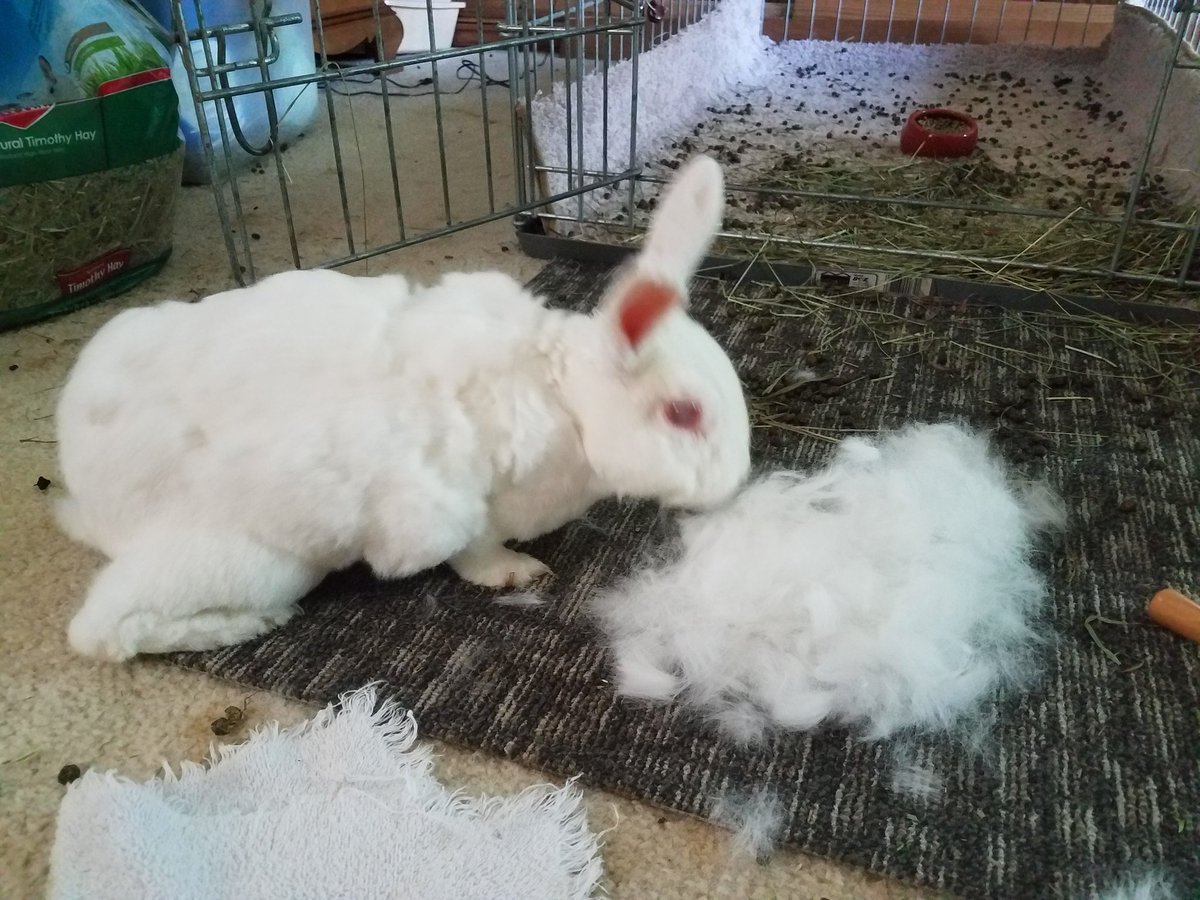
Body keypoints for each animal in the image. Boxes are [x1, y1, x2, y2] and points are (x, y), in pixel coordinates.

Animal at [55, 154, 751, 662]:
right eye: (683, 414)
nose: (732, 486)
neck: (565, 400)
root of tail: (86, 485)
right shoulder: (452, 505)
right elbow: (473, 551)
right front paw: (516, 574)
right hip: (249, 560)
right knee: (102, 629)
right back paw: (253, 623)